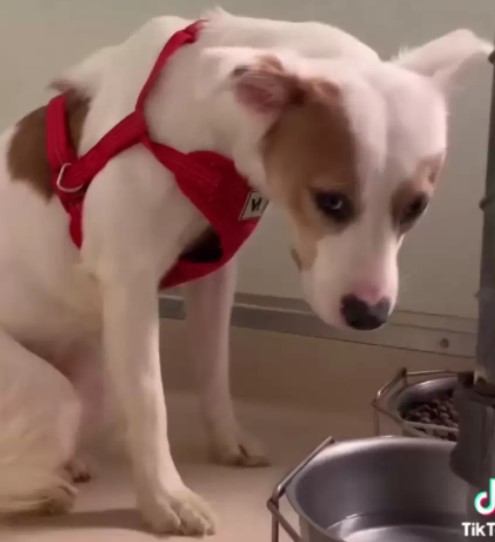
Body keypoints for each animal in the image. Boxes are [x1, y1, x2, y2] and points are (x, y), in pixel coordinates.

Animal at [0, 8, 490, 536]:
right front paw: (166, 499)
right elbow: (151, 403)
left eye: (416, 207)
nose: (370, 314)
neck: (198, 132)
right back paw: (47, 491)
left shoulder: (215, 274)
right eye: (330, 200)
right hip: (54, 391)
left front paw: (226, 440)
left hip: (93, 377)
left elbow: (216, 367)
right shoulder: (130, 285)